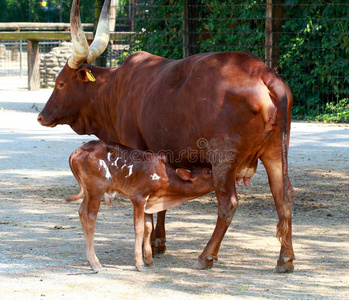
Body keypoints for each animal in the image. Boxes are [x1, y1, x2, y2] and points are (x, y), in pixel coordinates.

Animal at [65, 141, 212, 272]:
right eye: (208, 172)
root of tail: (77, 151)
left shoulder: (149, 202)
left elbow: (148, 228)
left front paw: (149, 260)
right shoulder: (138, 198)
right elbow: (139, 228)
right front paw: (139, 263)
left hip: (90, 192)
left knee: (81, 212)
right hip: (96, 190)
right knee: (89, 216)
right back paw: (94, 263)